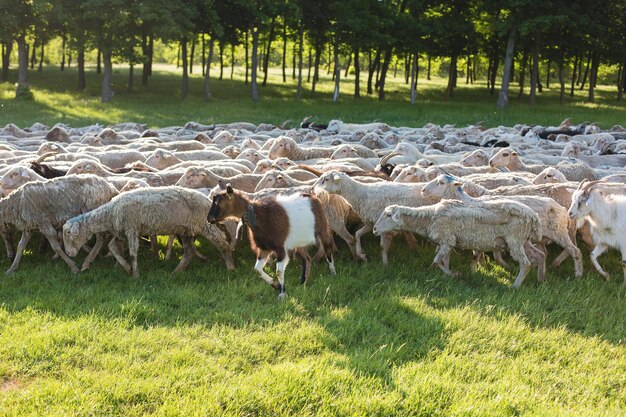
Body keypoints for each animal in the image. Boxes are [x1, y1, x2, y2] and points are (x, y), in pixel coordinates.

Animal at [63, 185, 234, 276]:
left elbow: (133, 253)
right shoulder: (122, 231)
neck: (110, 213)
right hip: (185, 230)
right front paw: (127, 267)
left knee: (222, 243)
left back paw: (230, 267)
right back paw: (176, 272)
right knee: (189, 252)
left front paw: (135, 274)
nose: (70, 253)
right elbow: (112, 248)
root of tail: (207, 200)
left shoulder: (132, 229)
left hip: (205, 224)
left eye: (69, 234)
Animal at [208, 182, 336, 300]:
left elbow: (279, 271)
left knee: (328, 248)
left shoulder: (280, 247)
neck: (260, 216)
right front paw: (276, 285)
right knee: (307, 259)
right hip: (298, 241)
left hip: (322, 229)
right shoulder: (264, 248)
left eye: (219, 203)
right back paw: (303, 283)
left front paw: (282, 294)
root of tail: (313, 196)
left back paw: (333, 273)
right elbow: (257, 270)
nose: (209, 219)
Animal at [370, 200, 540, 288]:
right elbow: (444, 260)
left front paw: (455, 275)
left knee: (525, 264)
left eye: (388, 215)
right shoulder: (448, 242)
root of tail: (533, 216)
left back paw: (515, 286)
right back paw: (540, 278)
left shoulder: (447, 240)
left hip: (515, 240)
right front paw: (449, 275)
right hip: (524, 240)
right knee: (538, 256)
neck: (428, 218)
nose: (375, 229)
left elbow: (437, 261)